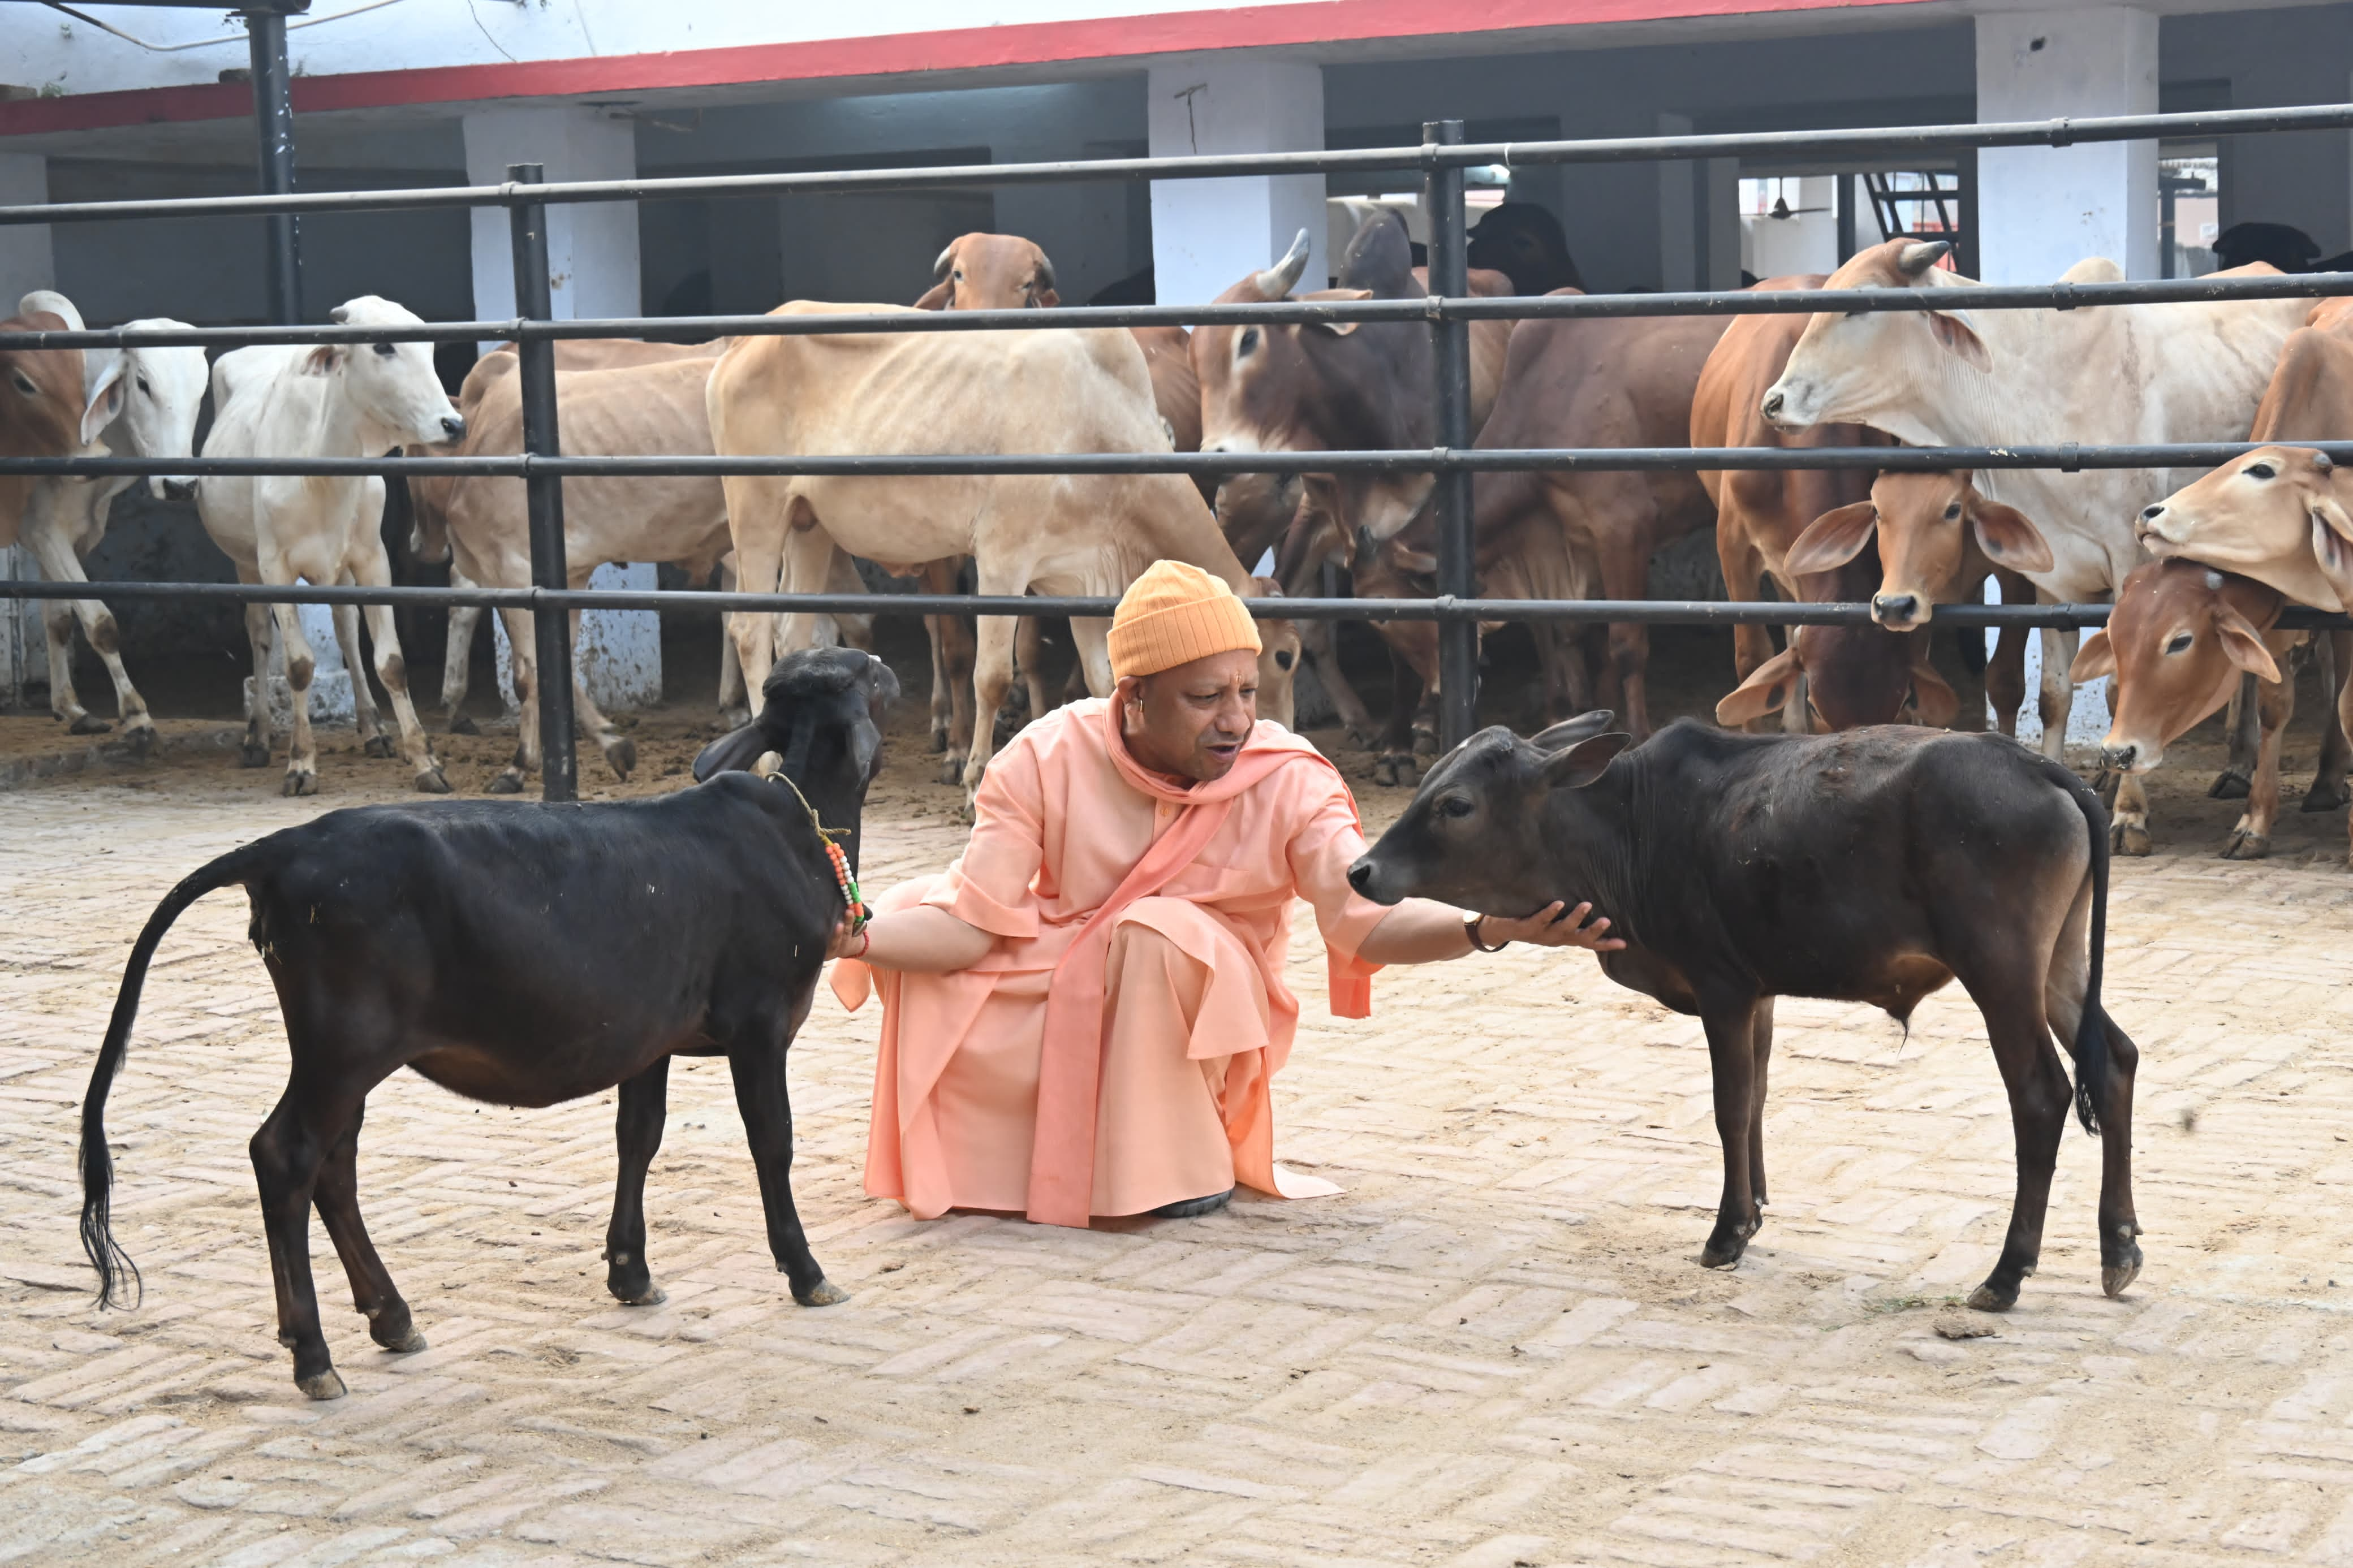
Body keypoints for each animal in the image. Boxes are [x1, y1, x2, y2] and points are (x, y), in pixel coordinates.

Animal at [14, 292, 200, 748]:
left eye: (202, 390)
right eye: (144, 385)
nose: (180, 485)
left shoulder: (64, 536)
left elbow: (60, 620)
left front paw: (72, 709)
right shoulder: (43, 532)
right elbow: (100, 623)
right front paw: (136, 714)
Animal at [78, 644, 894, 1401]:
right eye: (870, 672)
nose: (888, 664)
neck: (796, 828)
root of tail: (282, 847)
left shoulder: (649, 1036)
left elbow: (639, 1136)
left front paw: (630, 1272)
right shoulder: (761, 1021)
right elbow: (771, 1143)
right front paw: (806, 1271)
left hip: (341, 1054)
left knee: (334, 1165)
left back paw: (392, 1317)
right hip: (343, 1047)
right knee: (287, 1155)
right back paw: (313, 1355)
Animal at [200, 291, 466, 799]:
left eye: (429, 349)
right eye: (383, 346)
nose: (453, 424)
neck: (323, 466)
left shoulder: (372, 560)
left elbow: (390, 662)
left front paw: (425, 760)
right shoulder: (275, 568)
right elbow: (299, 665)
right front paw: (301, 764)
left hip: (339, 569)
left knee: (345, 628)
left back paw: (374, 729)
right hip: (246, 564)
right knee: (260, 636)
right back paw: (258, 736)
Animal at [706, 305, 1299, 804]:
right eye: (1286, 657)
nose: (1276, 738)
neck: (1100, 421)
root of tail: (741, 345)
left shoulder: (1080, 575)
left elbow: (1103, 680)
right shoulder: (1002, 557)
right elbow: (991, 674)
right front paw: (974, 780)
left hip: (809, 524)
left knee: (792, 634)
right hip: (757, 510)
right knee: (749, 630)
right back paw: (766, 761)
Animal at [1355, 719, 2145, 1316]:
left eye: (1455, 804)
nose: (1360, 870)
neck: (1630, 828)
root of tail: (2043, 768)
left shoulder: (1723, 986)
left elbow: (1730, 1106)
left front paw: (1727, 1230)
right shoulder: (1758, 992)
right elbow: (1760, 1095)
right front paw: (1758, 1207)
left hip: (2000, 970)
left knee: (2039, 1096)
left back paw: (2006, 1273)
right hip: (2057, 964)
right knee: (2114, 1060)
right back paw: (2118, 1245)